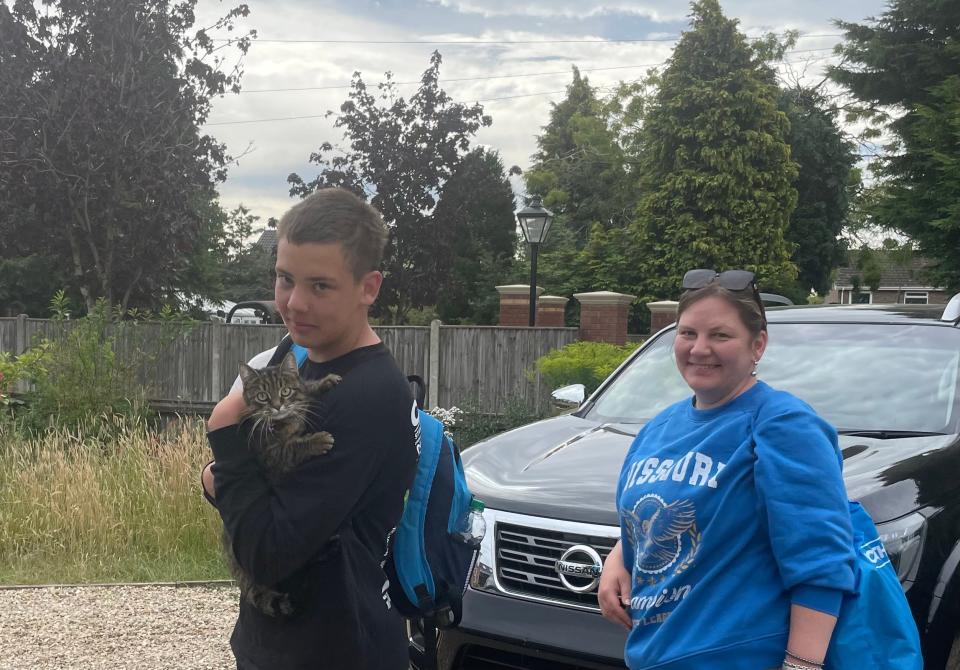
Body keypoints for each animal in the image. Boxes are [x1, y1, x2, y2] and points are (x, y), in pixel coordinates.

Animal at [221, 352, 342, 620]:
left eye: (285, 391)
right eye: (263, 397)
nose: (277, 406)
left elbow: (305, 388)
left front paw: (324, 381)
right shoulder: (273, 457)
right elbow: (293, 447)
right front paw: (317, 440)